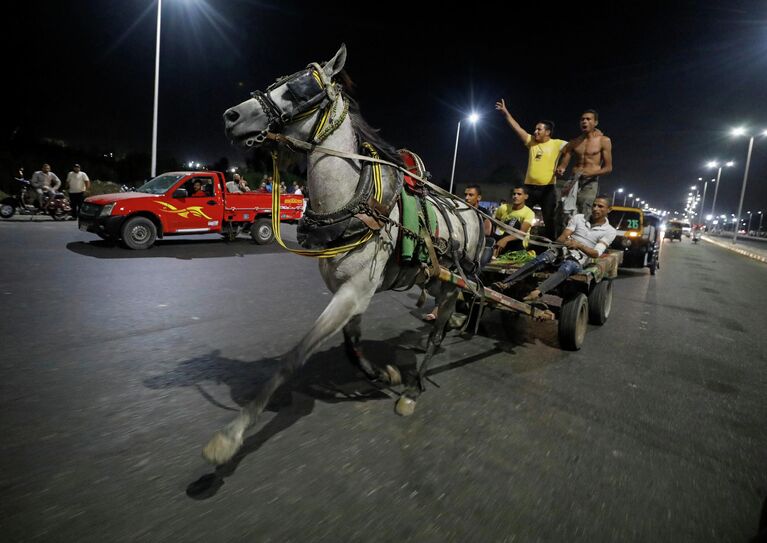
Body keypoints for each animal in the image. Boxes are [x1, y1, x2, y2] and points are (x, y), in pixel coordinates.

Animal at [201, 44, 484, 466]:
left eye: (301, 88)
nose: (231, 116)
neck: (353, 199)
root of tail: (475, 211)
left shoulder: (353, 292)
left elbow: (293, 357)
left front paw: (230, 435)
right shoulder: (347, 290)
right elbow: (352, 345)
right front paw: (384, 374)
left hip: (453, 286)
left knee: (437, 335)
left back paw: (413, 390)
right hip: (435, 280)